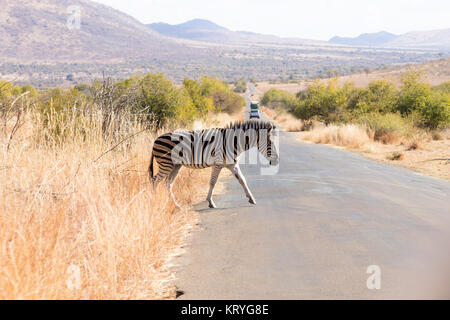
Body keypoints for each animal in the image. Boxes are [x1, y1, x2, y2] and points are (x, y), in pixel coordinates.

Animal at [149, 119, 280, 208]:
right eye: (269, 144)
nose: (276, 161)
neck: (233, 142)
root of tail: (156, 139)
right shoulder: (218, 163)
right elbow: (213, 182)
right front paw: (210, 202)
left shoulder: (232, 164)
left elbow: (242, 180)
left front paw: (251, 198)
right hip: (166, 164)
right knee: (154, 181)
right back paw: (154, 202)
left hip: (176, 166)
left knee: (167, 184)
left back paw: (176, 206)